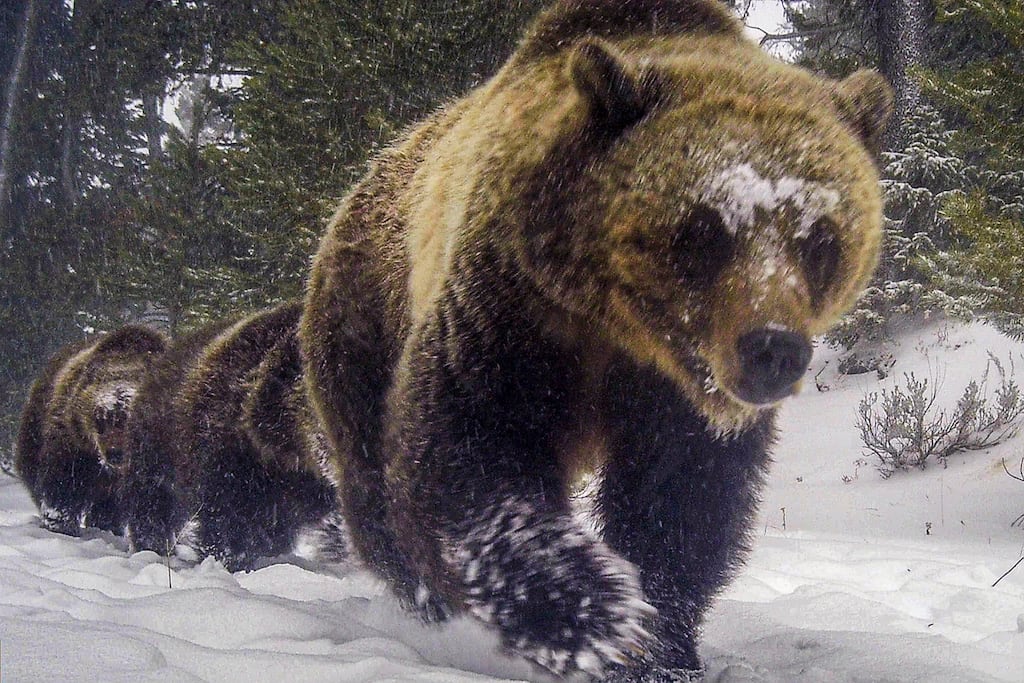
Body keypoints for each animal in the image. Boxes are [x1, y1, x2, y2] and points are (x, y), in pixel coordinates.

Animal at [15, 325, 167, 536]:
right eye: (101, 419)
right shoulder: (73, 439)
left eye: (128, 422)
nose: (115, 453)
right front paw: (60, 523)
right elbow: (64, 480)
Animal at [120, 301, 345, 571]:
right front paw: (230, 561)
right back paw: (152, 547)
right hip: (156, 446)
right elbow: (228, 520)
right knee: (153, 500)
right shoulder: (229, 457)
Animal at [300, 0, 891, 679]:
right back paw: (423, 598)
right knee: (373, 479)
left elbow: (681, 501)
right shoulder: (512, 314)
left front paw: (660, 643)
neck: (620, 328)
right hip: (363, 321)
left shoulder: (673, 393)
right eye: (704, 230)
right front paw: (593, 613)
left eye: (820, 238)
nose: (772, 348)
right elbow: (467, 450)